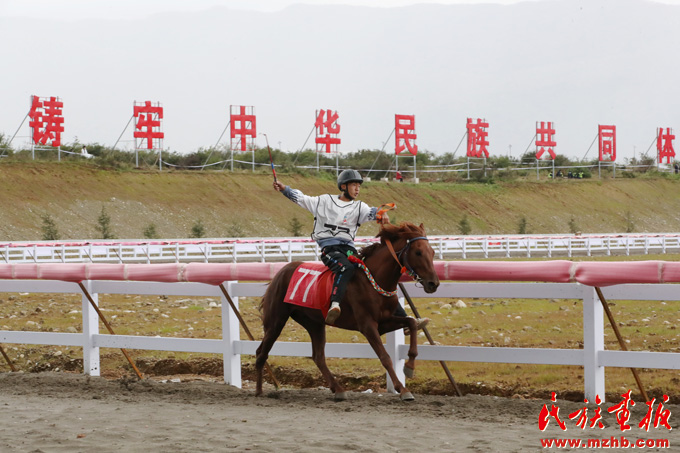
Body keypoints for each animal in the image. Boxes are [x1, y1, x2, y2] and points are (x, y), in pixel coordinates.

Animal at [255, 221, 440, 400]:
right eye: (418, 252)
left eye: (432, 252)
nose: (433, 283)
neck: (373, 280)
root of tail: (280, 273)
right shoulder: (367, 325)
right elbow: (385, 357)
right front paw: (402, 389)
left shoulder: (385, 322)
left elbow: (411, 322)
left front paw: (409, 366)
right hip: (276, 321)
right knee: (261, 353)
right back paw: (258, 391)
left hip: (314, 323)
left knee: (318, 356)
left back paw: (337, 389)